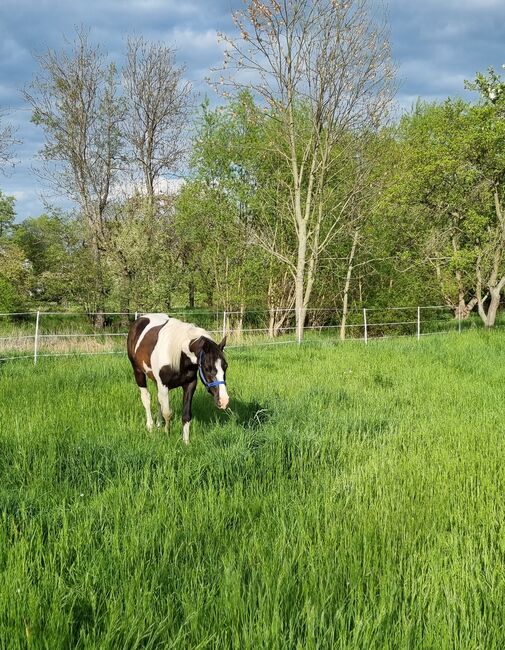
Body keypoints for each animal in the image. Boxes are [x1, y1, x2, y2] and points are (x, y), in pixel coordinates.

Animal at [126, 312, 228, 442]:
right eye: (207, 368)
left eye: (225, 366)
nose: (224, 400)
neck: (179, 356)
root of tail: (140, 319)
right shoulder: (164, 385)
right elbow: (167, 413)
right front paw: (167, 435)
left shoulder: (190, 384)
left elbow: (186, 415)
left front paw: (186, 441)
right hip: (138, 372)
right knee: (146, 398)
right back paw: (150, 426)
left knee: (158, 400)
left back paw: (158, 424)